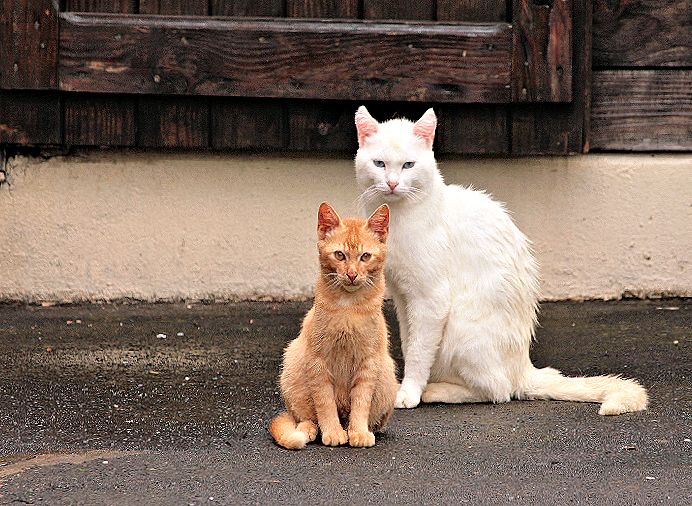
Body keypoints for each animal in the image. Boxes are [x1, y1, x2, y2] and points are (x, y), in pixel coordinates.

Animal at [270, 204, 400, 448]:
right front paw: (332, 431)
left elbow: (361, 402)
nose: (352, 274)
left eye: (365, 256)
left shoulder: (368, 362)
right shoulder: (317, 362)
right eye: (340, 255)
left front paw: (358, 432)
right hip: (293, 364)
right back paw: (309, 430)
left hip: (387, 373)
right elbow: (325, 403)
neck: (348, 308)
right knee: (304, 418)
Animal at [352, 106, 648, 416]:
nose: (392, 183)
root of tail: (524, 368)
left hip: (463, 330)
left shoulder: (430, 298)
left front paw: (410, 392)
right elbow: (411, 344)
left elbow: (419, 353)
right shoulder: (403, 297)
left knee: (498, 391)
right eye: (379, 164)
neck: (398, 218)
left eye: (408, 165)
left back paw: (437, 391)